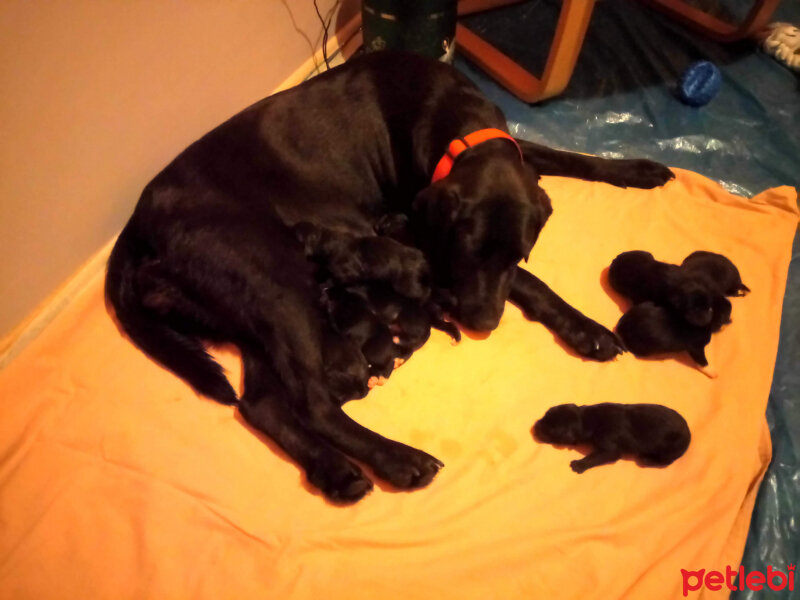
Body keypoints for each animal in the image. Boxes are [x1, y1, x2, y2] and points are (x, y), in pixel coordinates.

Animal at [103, 50, 672, 502]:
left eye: (518, 252)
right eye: (468, 253)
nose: (482, 324)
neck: (453, 120)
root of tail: (137, 225)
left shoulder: (512, 160)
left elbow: (565, 155)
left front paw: (636, 169)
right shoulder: (419, 241)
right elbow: (529, 285)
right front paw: (583, 326)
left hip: (257, 311)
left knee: (264, 406)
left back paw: (335, 472)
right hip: (276, 283)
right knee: (311, 403)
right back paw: (399, 459)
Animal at [532, 404, 688, 474]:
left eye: (550, 431)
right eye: (546, 414)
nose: (535, 425)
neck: (586, 418)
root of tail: (689, 437)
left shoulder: (610, 448)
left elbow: (595, 457)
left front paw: (579, 465)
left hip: (668, 450)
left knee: (666, 462)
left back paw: (647, 459)